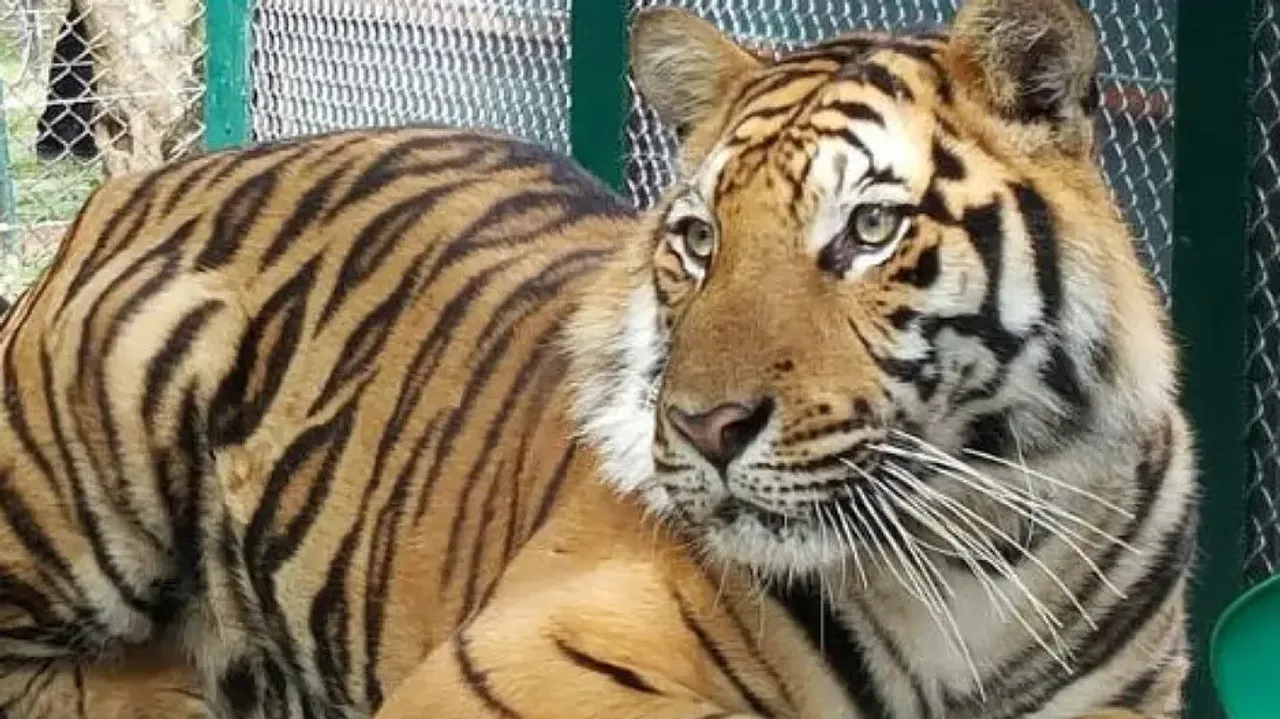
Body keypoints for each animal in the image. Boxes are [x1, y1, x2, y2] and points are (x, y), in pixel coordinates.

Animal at [0, 0, 1193, 718]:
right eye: (700, 239)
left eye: (866, 230)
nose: (706, 428)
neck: (971, 552)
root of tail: (141, 180)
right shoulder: (508, 670)